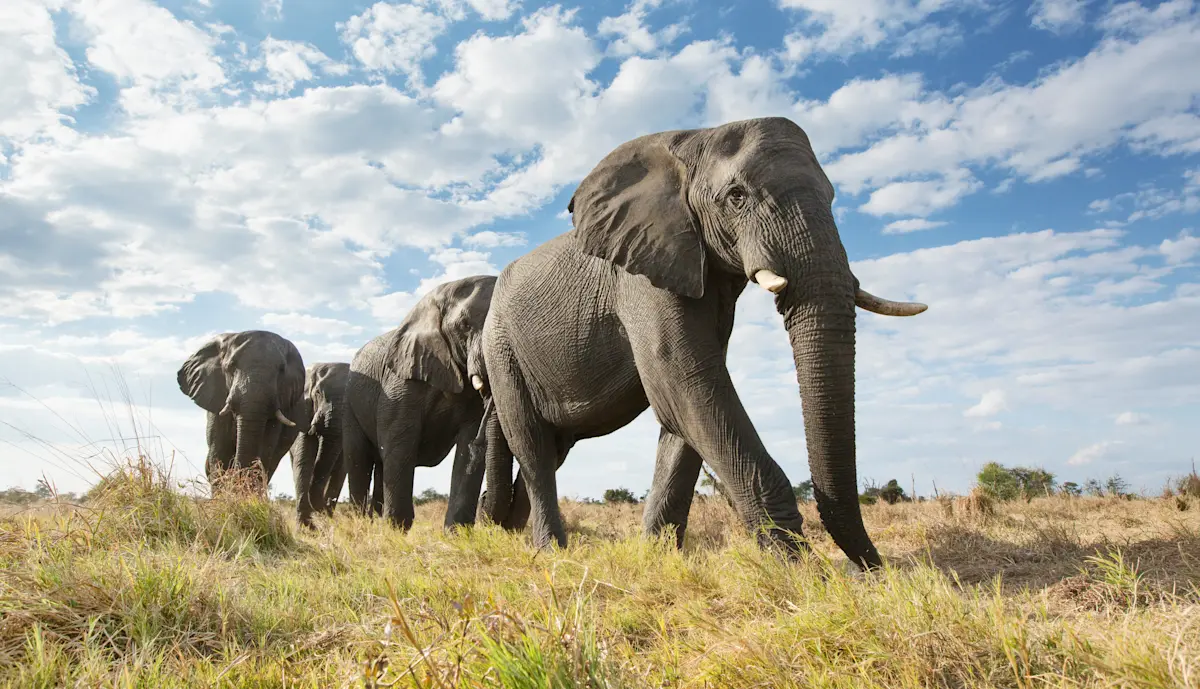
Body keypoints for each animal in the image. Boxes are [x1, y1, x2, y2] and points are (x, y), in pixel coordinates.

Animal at [343, 274, 496, 531]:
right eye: (464, 325)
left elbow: (467, 452)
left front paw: (456, 534)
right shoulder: (401, 382)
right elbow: (400, 444)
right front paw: (396, 531)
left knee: (381, 465)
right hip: (350, 404)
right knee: (359, 460)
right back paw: (360, 523)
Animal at [475, 117, 927, 571]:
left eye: (832, 196)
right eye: (737, 196)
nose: (867, 569)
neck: (694, 140)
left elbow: (686, 407)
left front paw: (657, 559)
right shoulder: (641, 275)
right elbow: (686, 381)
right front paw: (798, 570)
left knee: (553, 447)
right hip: (502, 349)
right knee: (533, 446)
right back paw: (551, 554)